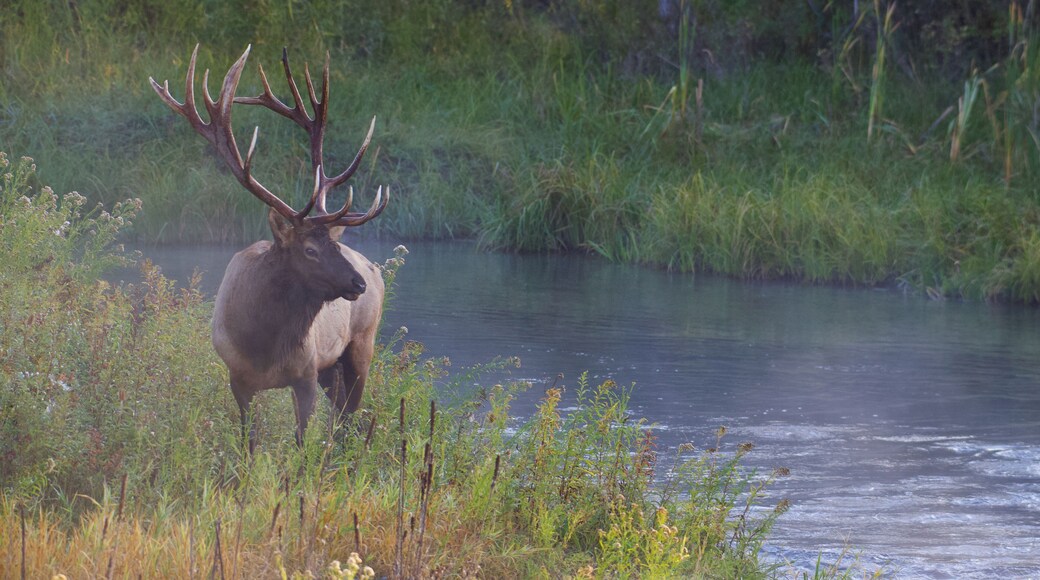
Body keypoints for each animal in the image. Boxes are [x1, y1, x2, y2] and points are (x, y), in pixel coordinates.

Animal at [150, 45, 388, 451]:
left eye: (334, 246)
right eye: (309, 250)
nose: (358, 283)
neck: (265, 345)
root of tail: (376, 269)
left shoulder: (306, 373)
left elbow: (301, 442)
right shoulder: (237, 377)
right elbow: (249, 440)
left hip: (361, 346)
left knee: (350, 417)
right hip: (332, 369)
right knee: (341, 415)